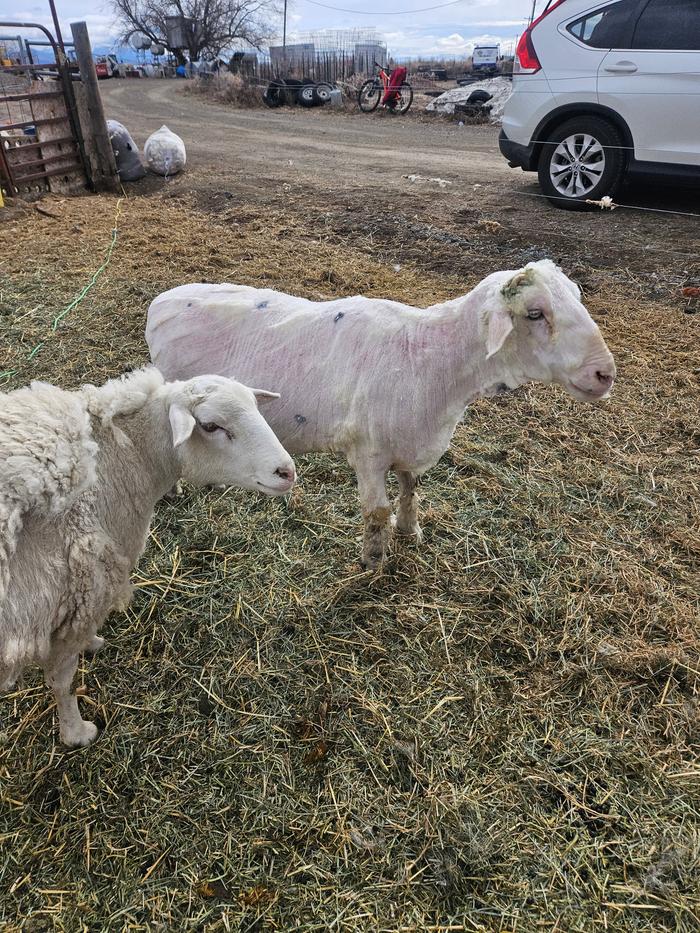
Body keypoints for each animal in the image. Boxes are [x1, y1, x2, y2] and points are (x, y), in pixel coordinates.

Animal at [0, 368, 295, 746]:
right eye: (211, 426)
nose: (286, 472)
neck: (117, 460)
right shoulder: (76, 598)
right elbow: (61, 681)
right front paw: (76, 733)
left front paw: (92, 643)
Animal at [146, 259, 616, 569]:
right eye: (535, 313)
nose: (605, 374)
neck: (435, 360)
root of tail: (161, 300)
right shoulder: (368, 452)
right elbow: (376, 513)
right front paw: (374, 562)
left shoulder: (411, 442)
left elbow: (410, 489)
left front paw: (410, 530)